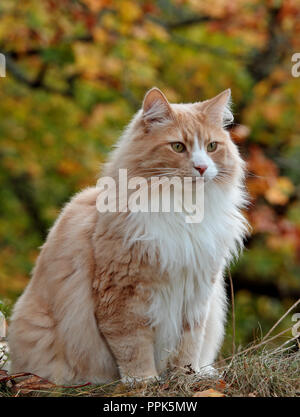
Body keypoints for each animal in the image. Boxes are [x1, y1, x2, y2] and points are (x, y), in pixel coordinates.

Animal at [8, 88, 248, 384]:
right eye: (178, 147)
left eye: (212, 146)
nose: (202, 168)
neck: (183, 208)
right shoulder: (123, 291)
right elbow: (133, 345)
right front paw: (144, 380)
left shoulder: (197, 291)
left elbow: (189, 344)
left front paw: (186, 377)